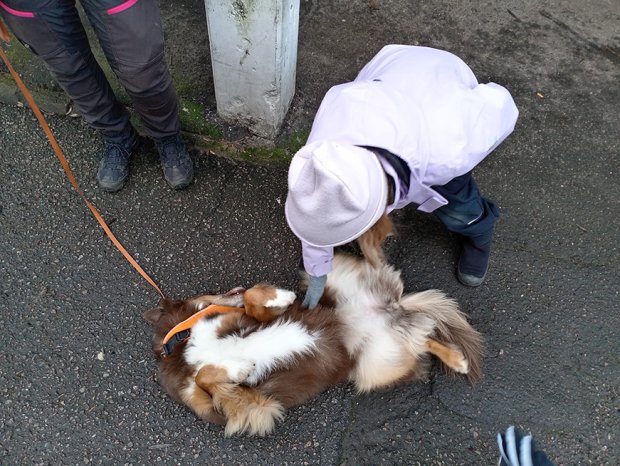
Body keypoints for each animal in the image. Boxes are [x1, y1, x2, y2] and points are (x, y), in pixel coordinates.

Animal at [145, 253, 484, 436]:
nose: (235, 286)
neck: (182, 341)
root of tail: (384, 314)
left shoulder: (240, 317)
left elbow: (254, 300)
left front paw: (280, 296)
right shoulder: (244, 408)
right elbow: (207, 376)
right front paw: (239, 367)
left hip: (332, 276)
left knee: (423, 335)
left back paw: (456, 359)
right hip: (375, 365)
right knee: (421, 342)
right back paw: (456, 358)